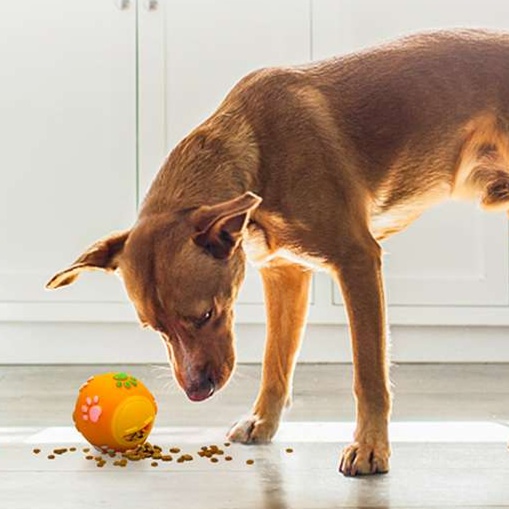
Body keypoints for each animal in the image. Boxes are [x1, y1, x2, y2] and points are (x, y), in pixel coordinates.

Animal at [45, 29, 508, 476]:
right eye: (156, 329)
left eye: (206, 315)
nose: (196, 393)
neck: (256, 153)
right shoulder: (285, 274)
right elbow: (276, 361)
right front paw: (262, 422)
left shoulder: (357, 261)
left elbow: (369, 373)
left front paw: (370, 446)